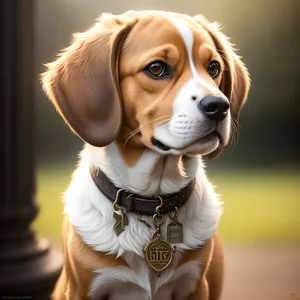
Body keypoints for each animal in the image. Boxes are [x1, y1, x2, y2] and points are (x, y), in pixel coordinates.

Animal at [41, 9, 250, 300]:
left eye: (213, 68)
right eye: (156, 68)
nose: (219, 106)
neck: (153, 200)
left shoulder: (196, 287)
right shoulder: (81, 291)